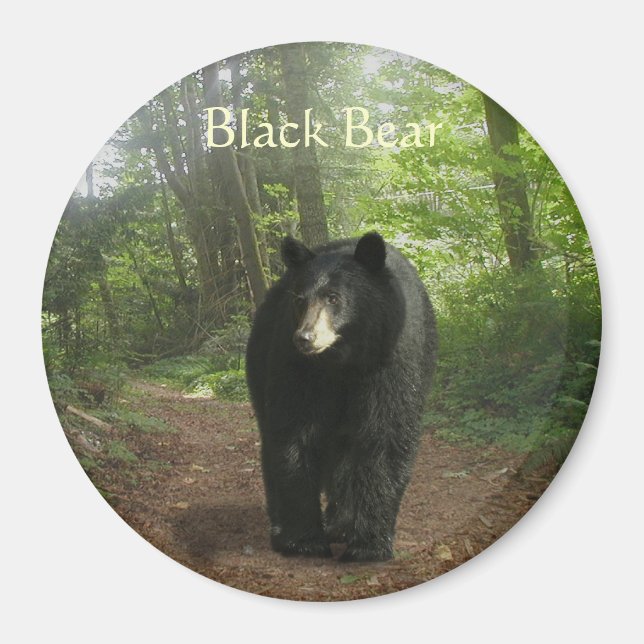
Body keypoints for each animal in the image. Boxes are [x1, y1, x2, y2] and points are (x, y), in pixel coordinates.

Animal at [245, 232, 437, 562]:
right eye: (300, 299)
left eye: (333, 297)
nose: (305, 338)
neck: (343, 360)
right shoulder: (296, 366)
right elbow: (294, 433)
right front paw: (304, 540)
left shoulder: (390, 361)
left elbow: (385, 435)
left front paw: (369, 545)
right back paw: (283, 528)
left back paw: (342, 524)